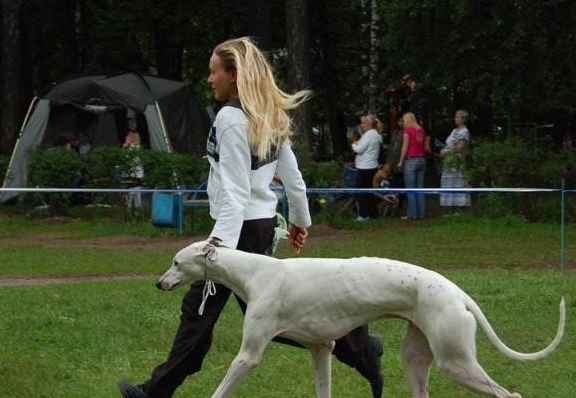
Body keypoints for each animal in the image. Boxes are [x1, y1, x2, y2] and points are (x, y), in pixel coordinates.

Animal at [155, 241, 564, 398]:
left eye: (176, 262)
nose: (160, 283)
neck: (255, 271)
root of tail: (458, 293)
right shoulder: (321, 348)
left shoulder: (249, 355)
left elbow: (223, 386)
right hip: (417, 359)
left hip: (456, 362)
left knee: (508, 394)